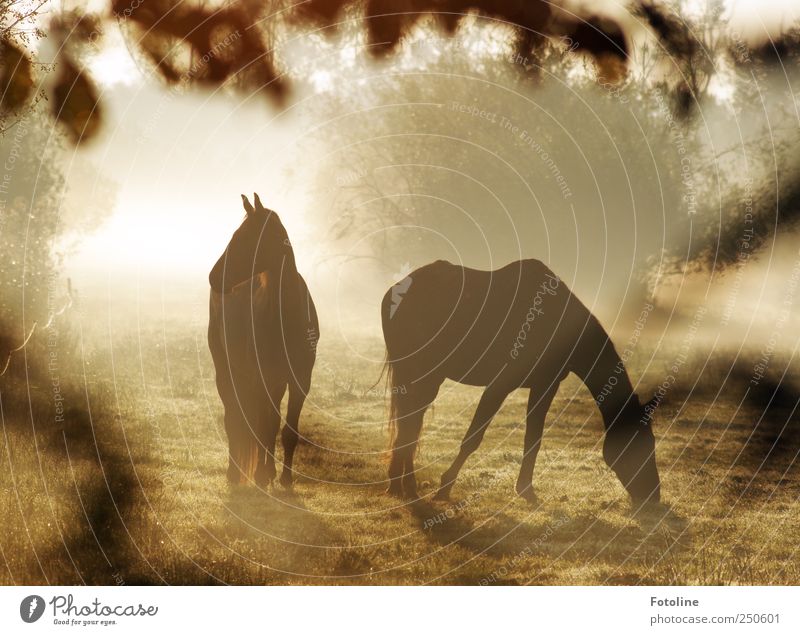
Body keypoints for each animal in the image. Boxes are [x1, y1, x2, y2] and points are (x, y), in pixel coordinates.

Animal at [208, 194, 318, 486]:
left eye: (247, 237)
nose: (214, 277)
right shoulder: (261, 378)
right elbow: (260, 427)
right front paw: (260, 475)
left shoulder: (300, 381)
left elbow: (285, 430)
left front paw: (285, 478)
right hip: (227, 371)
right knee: (234, 418)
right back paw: (236, 472)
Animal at [382, 260, 664, 504]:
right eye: (639, 446)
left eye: (652, 443)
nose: (654, 496)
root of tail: (395, 289)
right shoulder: (499, 385)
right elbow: (473, 437)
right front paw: (445, 486)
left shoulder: (544, 387)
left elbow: (533, 439)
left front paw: (526, 489)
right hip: (419, 375)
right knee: (409, 425)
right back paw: (404, 486)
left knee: (410, 424)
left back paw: (402, 485)